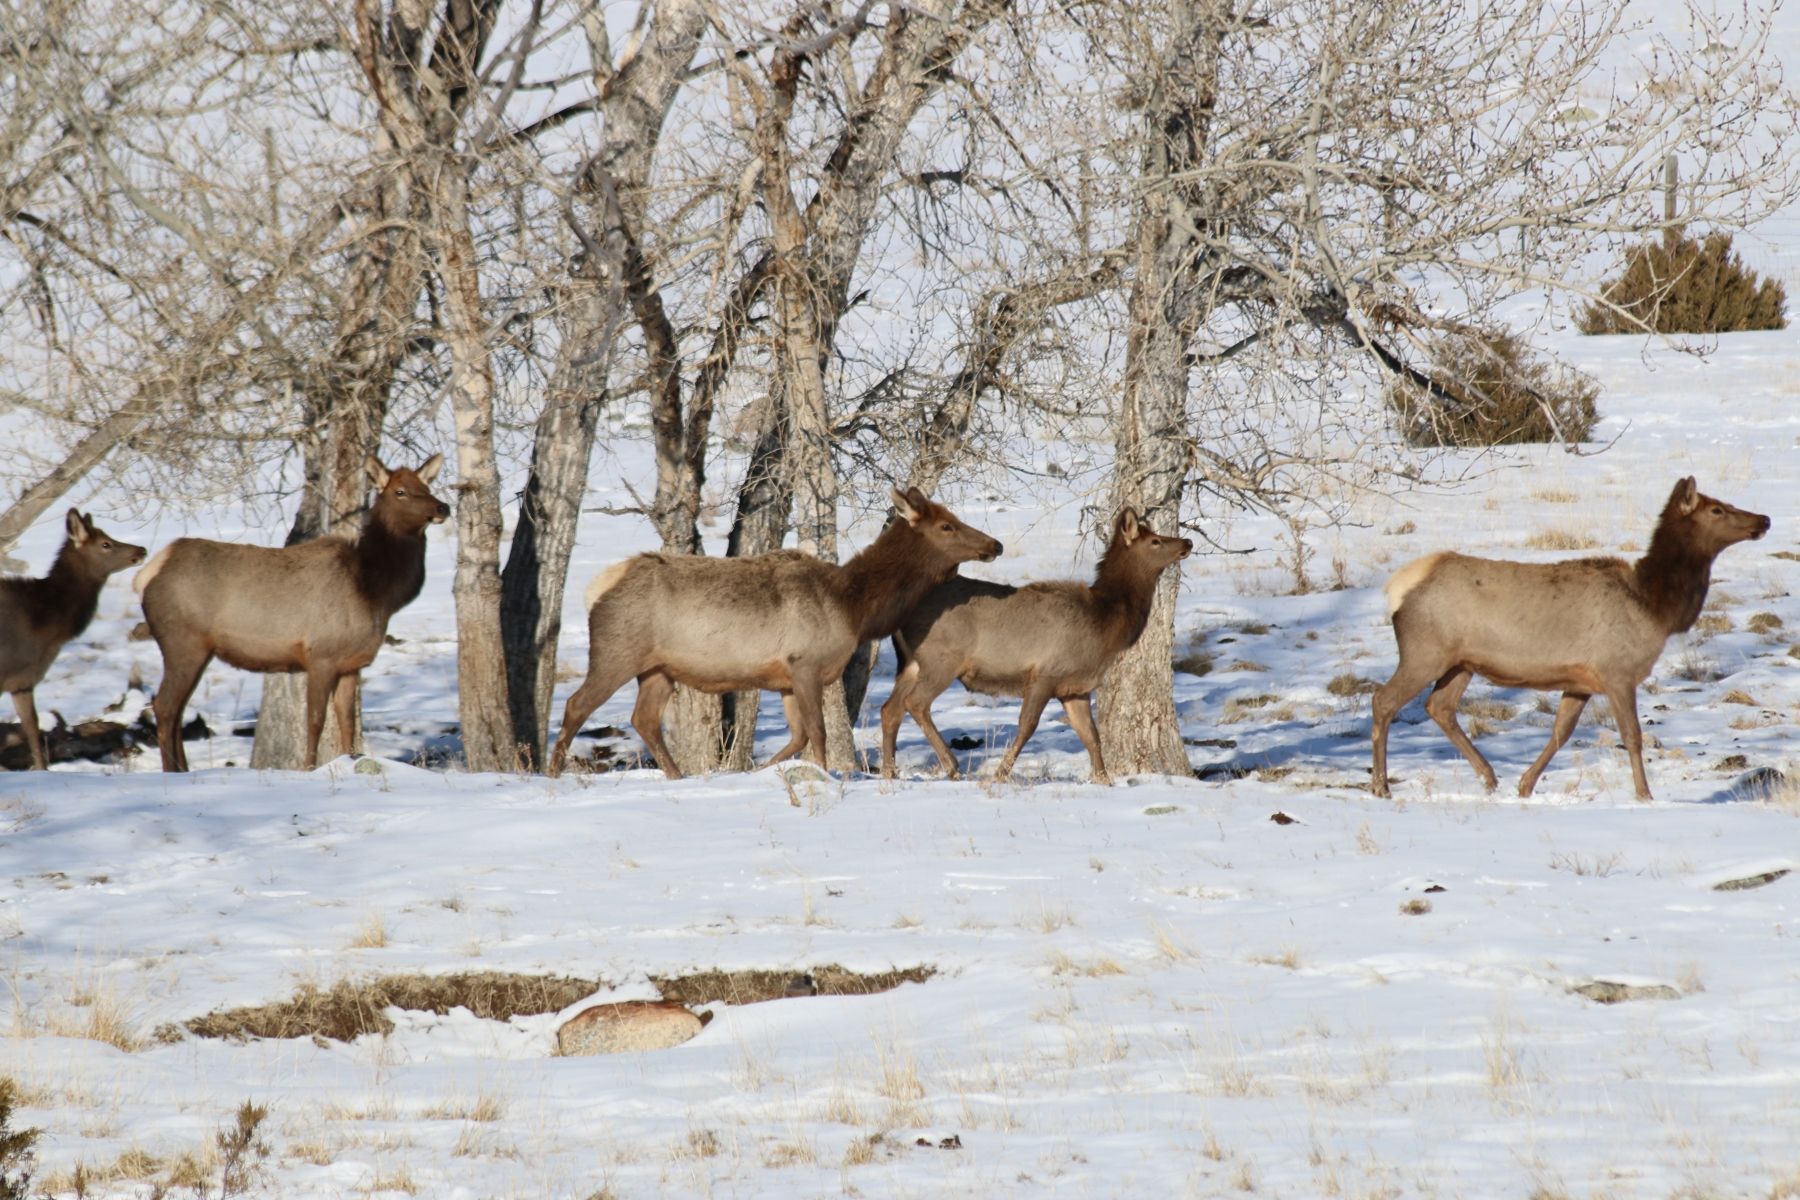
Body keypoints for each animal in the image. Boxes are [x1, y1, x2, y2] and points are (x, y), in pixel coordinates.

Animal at [134, 455, 449, 772]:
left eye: (426, 486)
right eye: (400, 491)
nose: (443, 507)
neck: (374, 593)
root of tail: (149, 573)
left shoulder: (351, 663)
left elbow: (347, 720)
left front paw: (350, 758)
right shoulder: (321, 655)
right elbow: (316, 720)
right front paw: (309, 768)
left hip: (197, 648)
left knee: (177, 708)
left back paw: (182, 769)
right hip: (182, 641)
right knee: (165, 705)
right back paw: (172, 771)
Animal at [546, 486, 1003, 779]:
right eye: (946, 526)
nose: (994, 545)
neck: (854, 608)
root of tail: (596, 588)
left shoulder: (784, 679)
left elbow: (798, 736)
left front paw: (760, 772)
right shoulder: (806, 664)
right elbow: (817, 732)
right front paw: (825, 774)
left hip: (658, 668)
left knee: (643, 719)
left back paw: (676, 776)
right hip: (616, 650)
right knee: (576, 704)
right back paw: (550, 773)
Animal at [880, 507, 1192, 785]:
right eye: (1155, 541)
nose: (1187, 542)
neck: (1105, 624)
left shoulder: (1075, 688)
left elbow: (1091, 736)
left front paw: (1104, 781)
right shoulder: (1045, 673)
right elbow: (1027, 726)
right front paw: (1000, 774)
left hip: (912, 662)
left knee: (889, 708)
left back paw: (889, 772)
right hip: (942, 658)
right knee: (915, 703)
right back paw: (951, 766)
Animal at [1371, 476, 1769, 801]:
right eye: (1716, 509)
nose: (1764, 519)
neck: (1655, 609)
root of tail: (1395, 589)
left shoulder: (1580, 681)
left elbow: (1561, 732)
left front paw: (1526, 785)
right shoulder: (1618, 672)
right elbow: (1632, 735)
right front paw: (1645, 795)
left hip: (1461, 663)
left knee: (1439, 706)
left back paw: (1489, 777)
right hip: (1424, 651)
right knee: (1384, 700)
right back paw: (1381, 786)